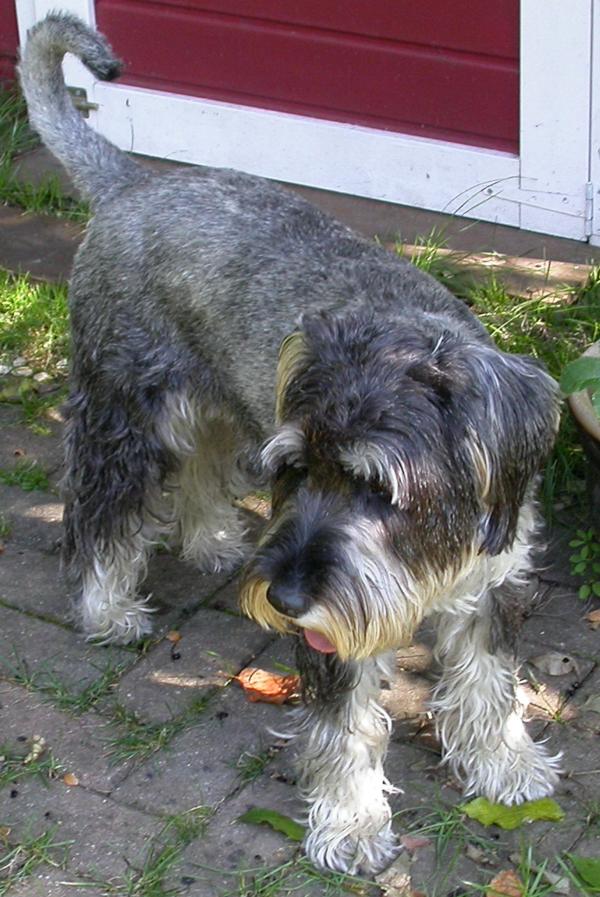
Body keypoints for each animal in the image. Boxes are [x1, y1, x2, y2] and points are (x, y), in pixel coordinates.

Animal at [19, 14, 564, 876]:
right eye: (298, 471)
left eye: (380, 489)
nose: (281, 597)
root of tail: (134, 186)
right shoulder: (338, 628)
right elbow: (348, 727)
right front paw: (351, 823)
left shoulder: (493, 582)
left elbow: (489, 681)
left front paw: (507, 764)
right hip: (127, 412)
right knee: (101, 508)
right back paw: (108, 606)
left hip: (214, 401)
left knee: (201, 468)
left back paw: (212, 538)